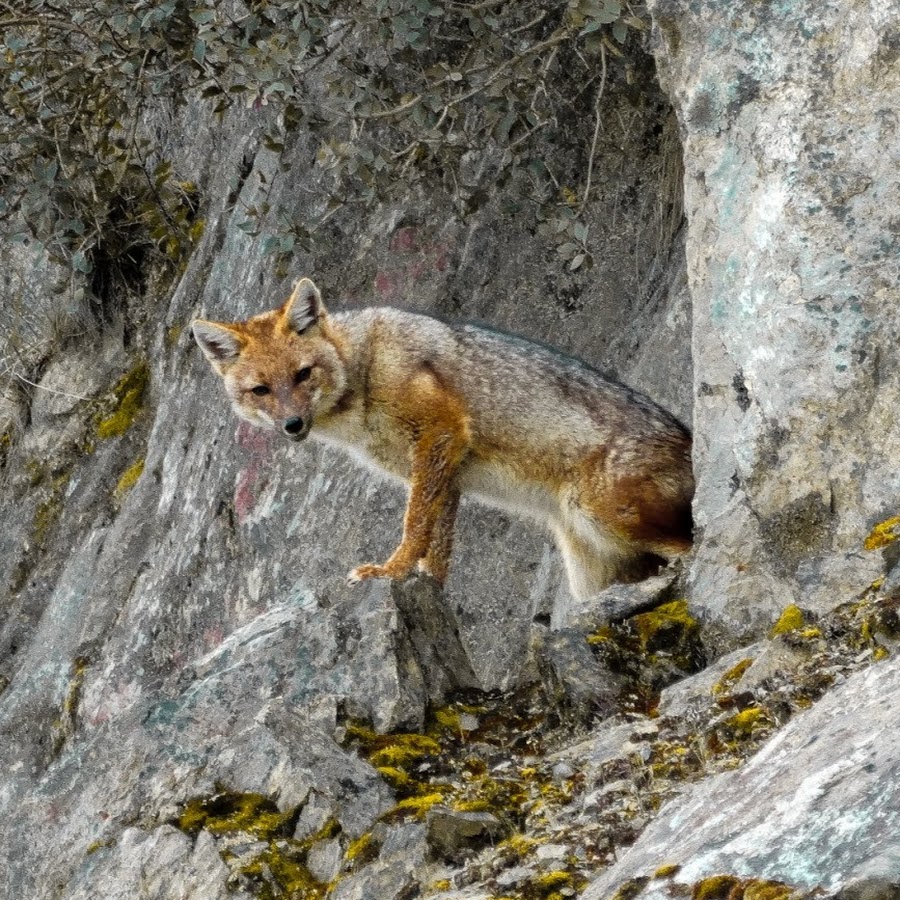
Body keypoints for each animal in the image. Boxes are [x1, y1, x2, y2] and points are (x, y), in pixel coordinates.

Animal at [193, 280, 692, 604]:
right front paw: (426, 584)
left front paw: (390, 570)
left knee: (690, 545)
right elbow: (438, 545)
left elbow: (415, 525)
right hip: (590, 569)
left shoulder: (441, 432)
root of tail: (689, 439)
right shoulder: (447, 472)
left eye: (302, 375)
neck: (366, 368)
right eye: (261, 390)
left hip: (602, 517)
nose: (293, 425)